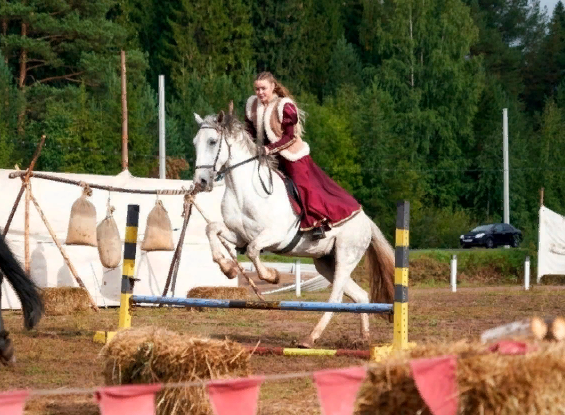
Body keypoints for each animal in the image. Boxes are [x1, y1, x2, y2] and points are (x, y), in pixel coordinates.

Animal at [192, 110, 394, 348]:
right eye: (195, 142)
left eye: (213, 142)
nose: (201, 181)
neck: (244, 192)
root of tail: (366, 221)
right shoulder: (238, 235)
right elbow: (212, 229)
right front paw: (228, 268)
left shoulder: (275, 235)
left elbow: (253, 250)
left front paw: (272, 276)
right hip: (326, 262)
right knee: (360, 295)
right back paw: (363, 339)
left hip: (347, 256)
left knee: (335, 298)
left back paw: (310, 338)